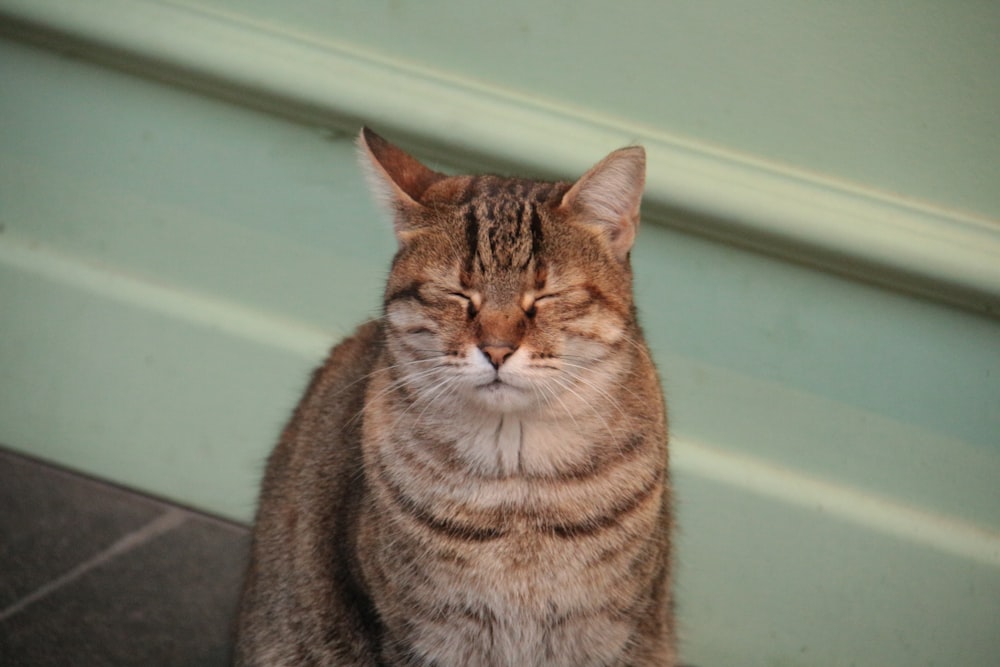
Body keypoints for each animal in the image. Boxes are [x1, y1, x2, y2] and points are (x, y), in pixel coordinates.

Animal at [233, 128, 672, 664]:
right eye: (458, 295)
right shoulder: (418, 634)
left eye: (545, 297)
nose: (498, 349)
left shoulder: (607, 634)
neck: (518, 491)